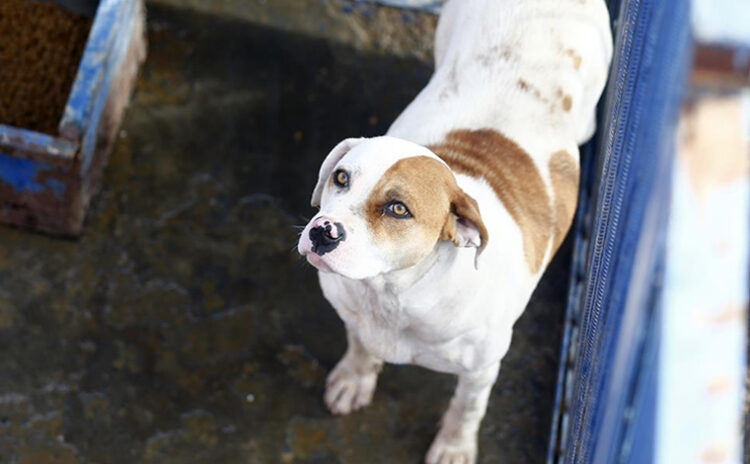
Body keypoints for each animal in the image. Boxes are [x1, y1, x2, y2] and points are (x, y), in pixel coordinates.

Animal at [296, 1, 612, 462]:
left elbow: (466, 409)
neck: (393, 294)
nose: (323, 232)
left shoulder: (482, 368)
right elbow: (360, 346)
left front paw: (453, 447)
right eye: (341, 177)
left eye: (398, 209)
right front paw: (355, 378)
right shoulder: (354, 315)